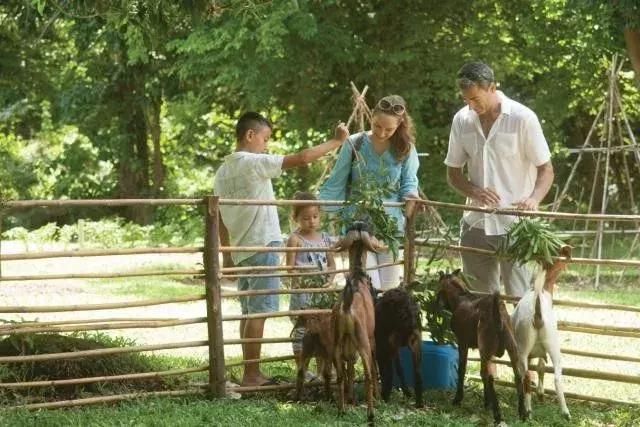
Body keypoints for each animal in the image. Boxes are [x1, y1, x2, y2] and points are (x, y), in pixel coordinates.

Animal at [440, 270, 524, 424]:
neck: (461, 297)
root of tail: (498, 316)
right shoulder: (481, 349)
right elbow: (481, 373)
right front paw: (486, 403)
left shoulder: (463, 343)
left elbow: (462, 369)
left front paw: (458, 399)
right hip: (509, 348)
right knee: (517, 376)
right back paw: (523, 414)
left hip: (486, 348)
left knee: (489, 377)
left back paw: (498, 415)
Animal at [510, 270, 568, 422]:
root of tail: (537, 314)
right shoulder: (542, 352)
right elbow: (541, 368)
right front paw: (541, 394)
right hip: (552, 344)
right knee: (557, 378)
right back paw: (565, 413)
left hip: (523, 348)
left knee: (526, 377)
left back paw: (528, 412)